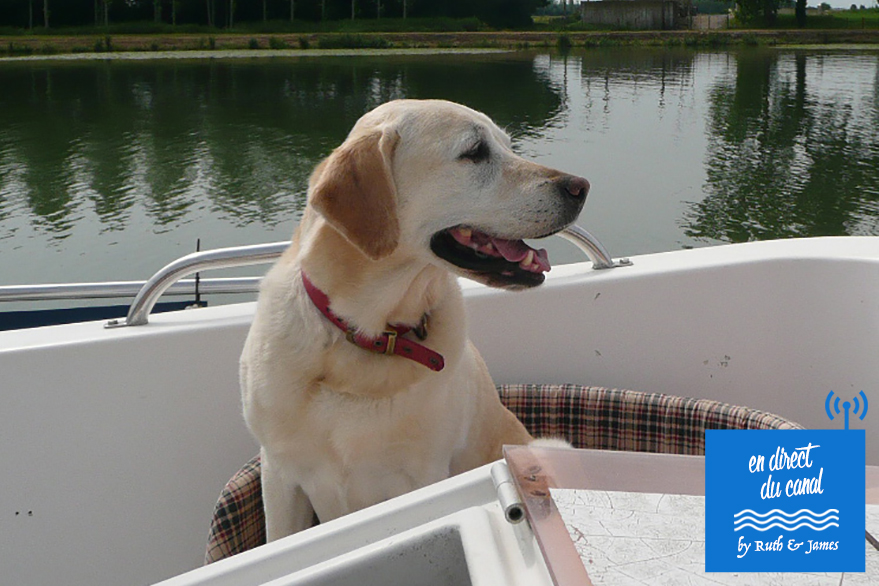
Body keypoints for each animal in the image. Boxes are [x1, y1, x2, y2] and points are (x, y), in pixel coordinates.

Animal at [241, 98, 588, 540]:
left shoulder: (423, 475)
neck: (367, 337)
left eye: (508, 146)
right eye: (474, 151)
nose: (581, 187)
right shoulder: (279, 475)